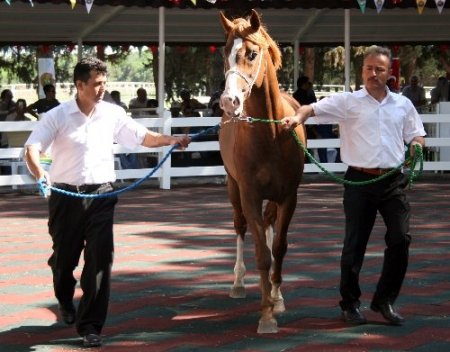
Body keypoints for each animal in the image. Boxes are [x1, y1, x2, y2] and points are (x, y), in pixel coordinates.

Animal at [217, 9, 306, 334]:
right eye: (224, 53)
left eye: (252, 53)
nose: (228, 101)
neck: (271, 134)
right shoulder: (250, 196)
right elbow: (261, 254)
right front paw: (266, 315)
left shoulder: (288, 197)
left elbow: (278, 248)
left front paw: (276, 299)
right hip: (233, 190)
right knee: (240, 228)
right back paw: (239, 283)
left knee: (269, 226)